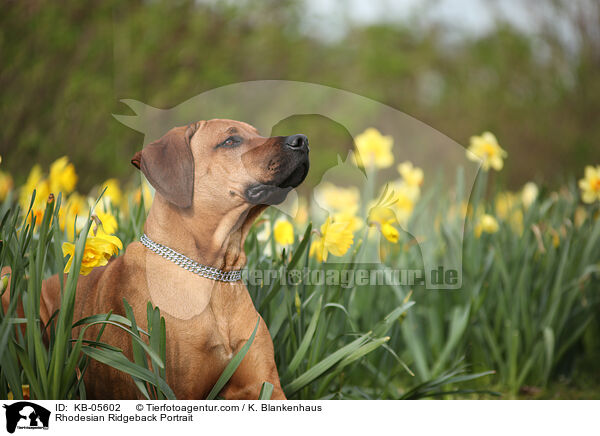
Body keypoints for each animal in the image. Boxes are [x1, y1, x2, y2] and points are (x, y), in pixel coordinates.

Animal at [1, 119, 310, 398]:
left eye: (258, 134)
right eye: (230, 141)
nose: (302, 140)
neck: (213, 273)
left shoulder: (264, 385)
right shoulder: (172, 388)